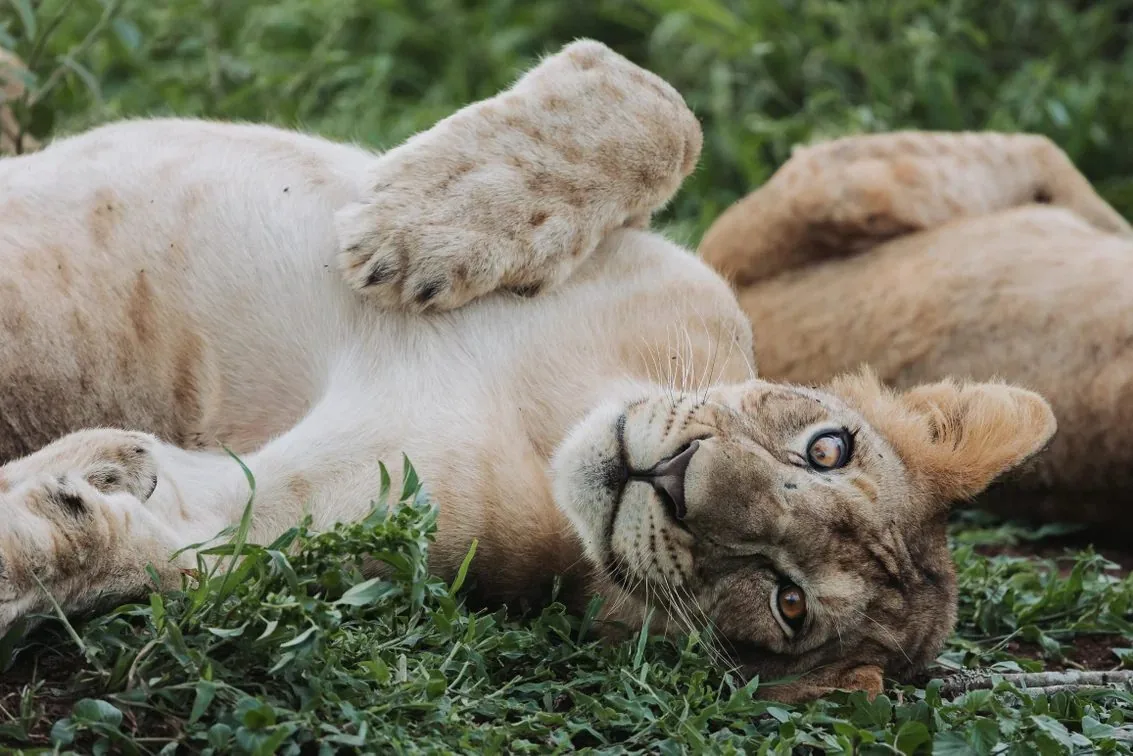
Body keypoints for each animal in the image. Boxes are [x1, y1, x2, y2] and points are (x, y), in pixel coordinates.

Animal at [0, 43, 1055, 701]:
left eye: (784, 605)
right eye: (826, 448)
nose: (677, 482)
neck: (550, 412)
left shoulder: (359, 503)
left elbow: (182, 540)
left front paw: (58, 521)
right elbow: (662, 108)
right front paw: (419, 225)